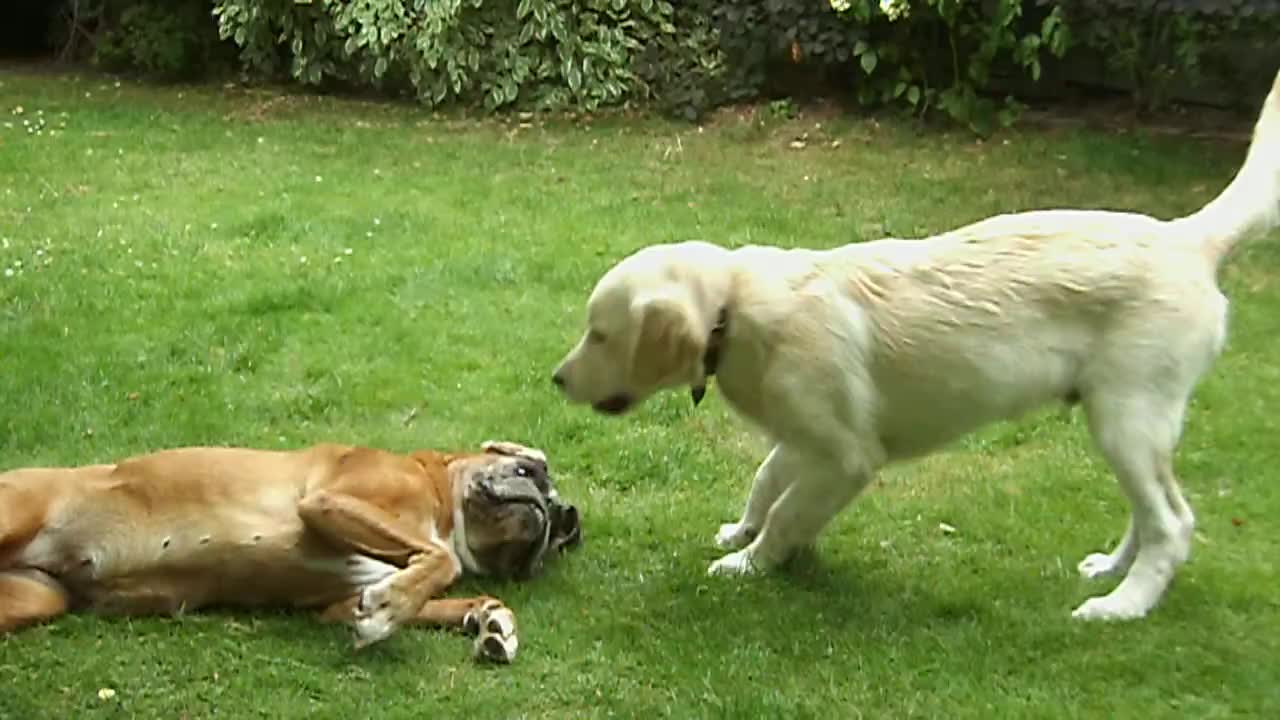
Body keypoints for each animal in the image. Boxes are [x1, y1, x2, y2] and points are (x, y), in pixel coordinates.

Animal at [0, 435, 581, 661]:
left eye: (559, 534)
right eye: (530, 470)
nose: (560, 513)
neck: (440, 499)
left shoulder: (341, 600)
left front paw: (491, 621)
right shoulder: (328, 501)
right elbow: (443, 560)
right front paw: (389, 611)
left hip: (35, 598)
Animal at [550, 70, 1280, 620]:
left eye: (601, 333)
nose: (556, 379)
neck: (736, 307)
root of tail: (1188, 238)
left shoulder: (846, 457)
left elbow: (789, 512)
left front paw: (747, 563)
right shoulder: (806, 434)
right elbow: (767, 482)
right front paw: (740, 530)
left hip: (1128, 414)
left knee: (1174, 523)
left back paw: (1122, 605)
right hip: (1128, 423)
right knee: (1153, 510)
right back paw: (1111, 569)